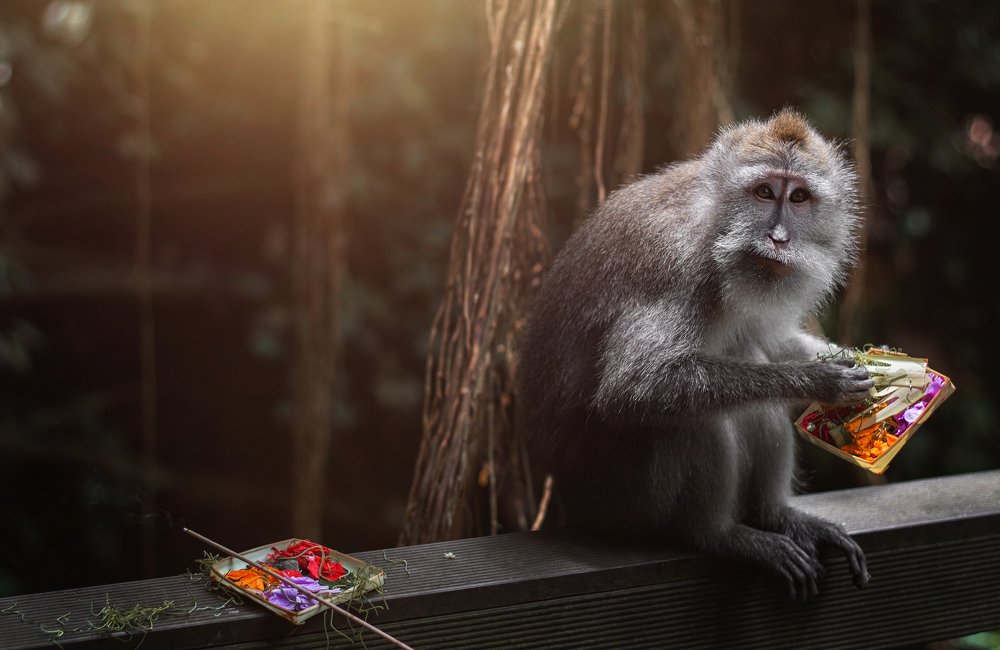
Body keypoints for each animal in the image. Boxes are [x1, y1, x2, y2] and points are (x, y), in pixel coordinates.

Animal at [517, 109, 872, 600]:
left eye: (799, 197)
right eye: (764, 192)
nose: (778, 238)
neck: (715, 227)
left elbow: (770, 337)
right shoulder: (674, 265)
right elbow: (635, 386)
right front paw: (821, 382)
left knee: (751, 376)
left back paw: (776, 516)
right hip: (623, 500)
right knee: (693, 416)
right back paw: (717, 535)